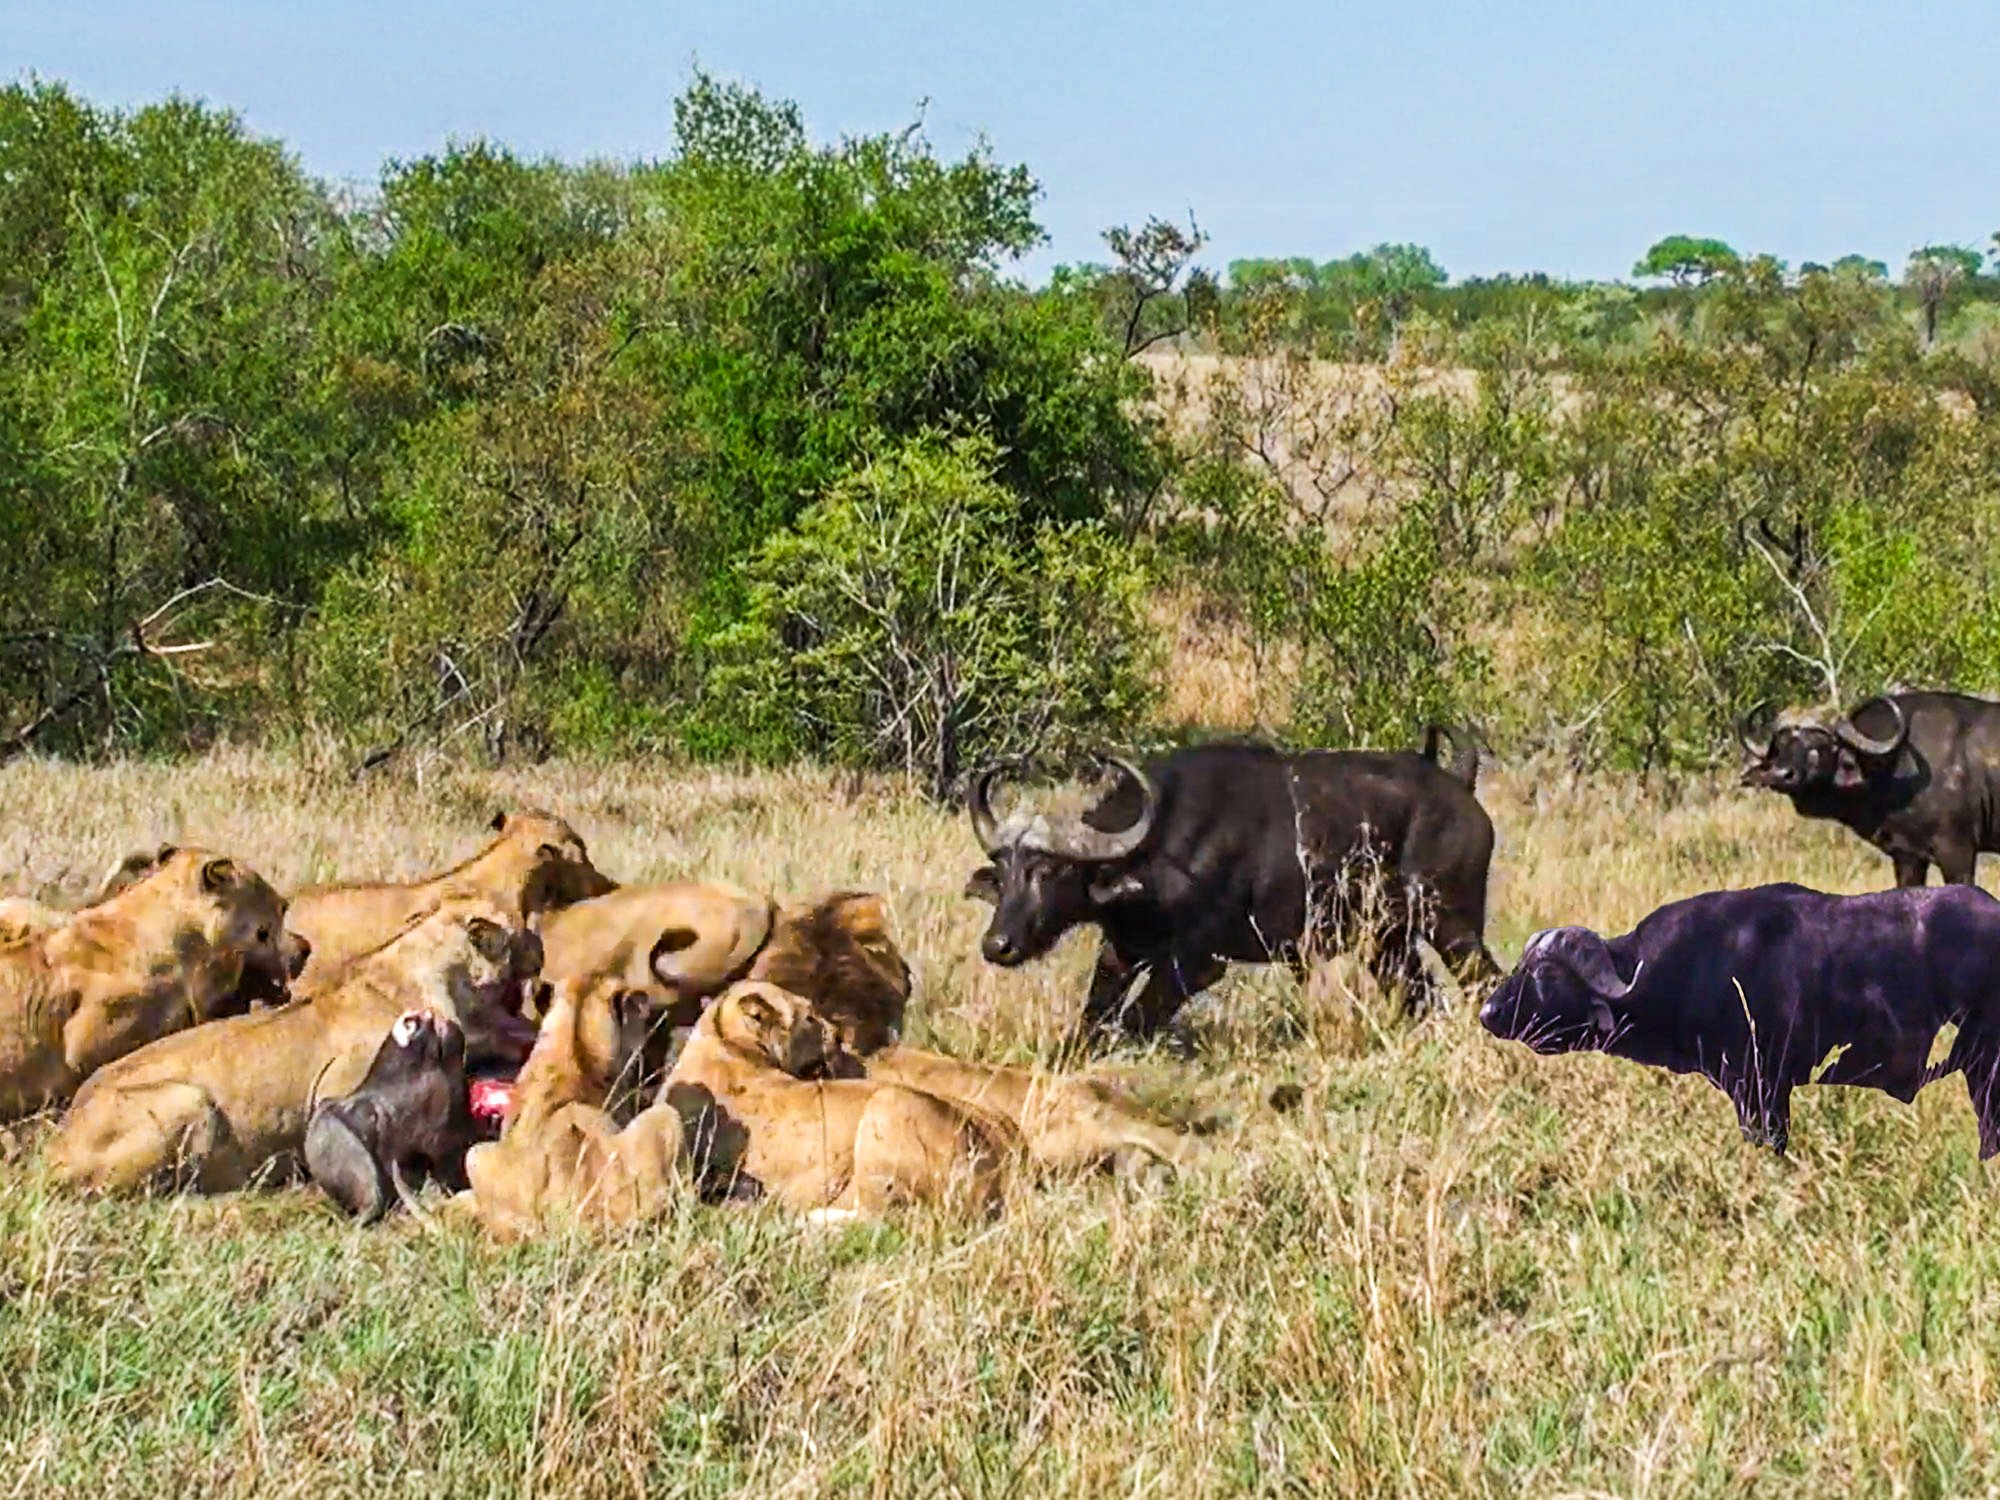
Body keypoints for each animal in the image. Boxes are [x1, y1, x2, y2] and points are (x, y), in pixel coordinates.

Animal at [964, 735, 1502, 1044]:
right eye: (1004, 871)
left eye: (1051, 871)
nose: (997, 945)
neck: (1159, 846)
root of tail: (1460, 788)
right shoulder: (1122, 952)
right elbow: (1092, 1019)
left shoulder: (1197, 964)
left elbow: (1135, 1020)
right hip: (1388, 943)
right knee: (1421, 996)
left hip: (1454, 929)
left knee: (1484, 985)